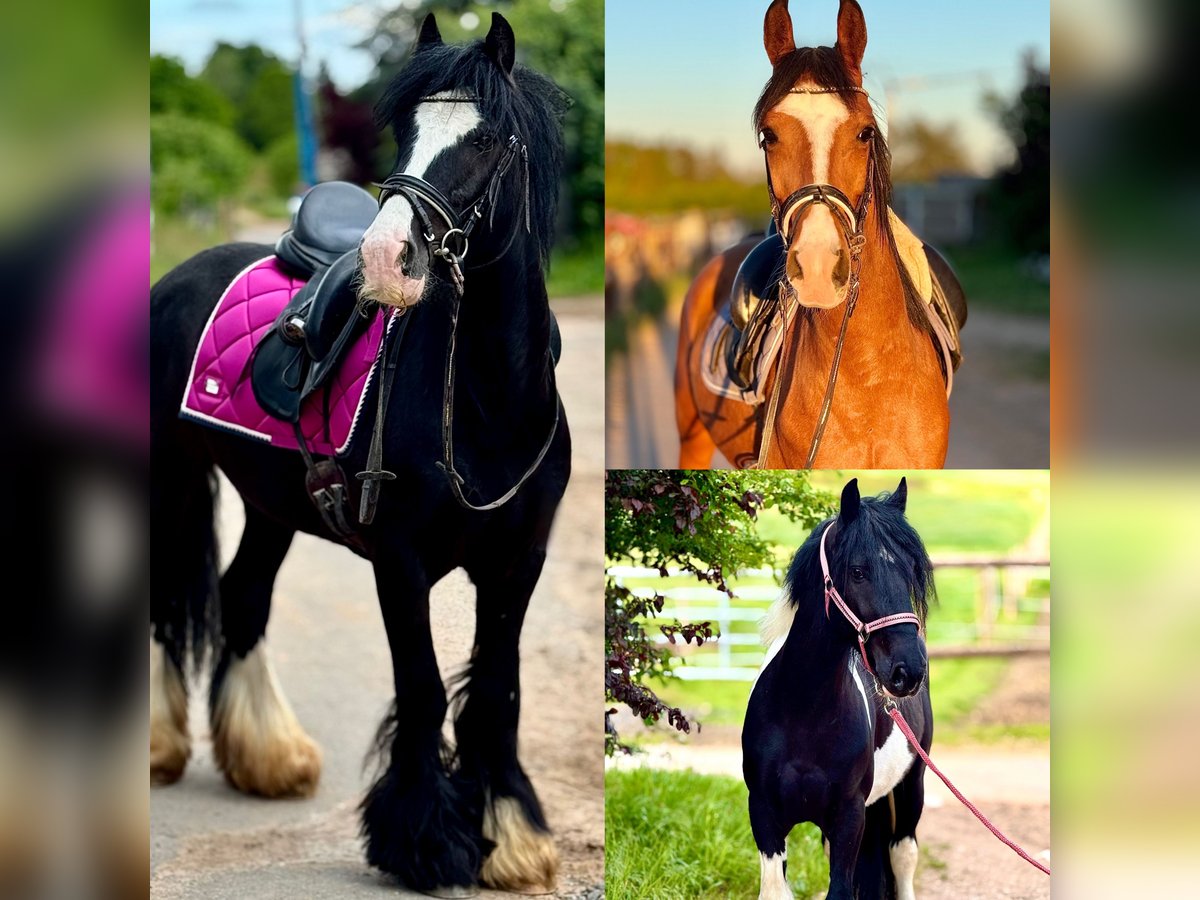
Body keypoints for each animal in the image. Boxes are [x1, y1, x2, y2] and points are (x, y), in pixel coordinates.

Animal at [150, 13, 569, 895]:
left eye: (486, 139)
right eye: (406, 131)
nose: (385, 259)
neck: (487, 406)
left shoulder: (518, 561)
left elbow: (496, 692)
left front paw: (510, 836)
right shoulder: (400, 563)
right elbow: (424, 689)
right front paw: (427, 843)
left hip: (271, 503)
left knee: (242, 598)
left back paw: (268, 757)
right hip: (167, 475)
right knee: (170, 605)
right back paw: (164, 747)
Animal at [743, 477, 934, 900]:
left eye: (912, 570)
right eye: (859, 571)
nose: (909, 670)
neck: (803, 713)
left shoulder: (849, 817)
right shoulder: (764, 815)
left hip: (911, 786)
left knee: (903, 857)